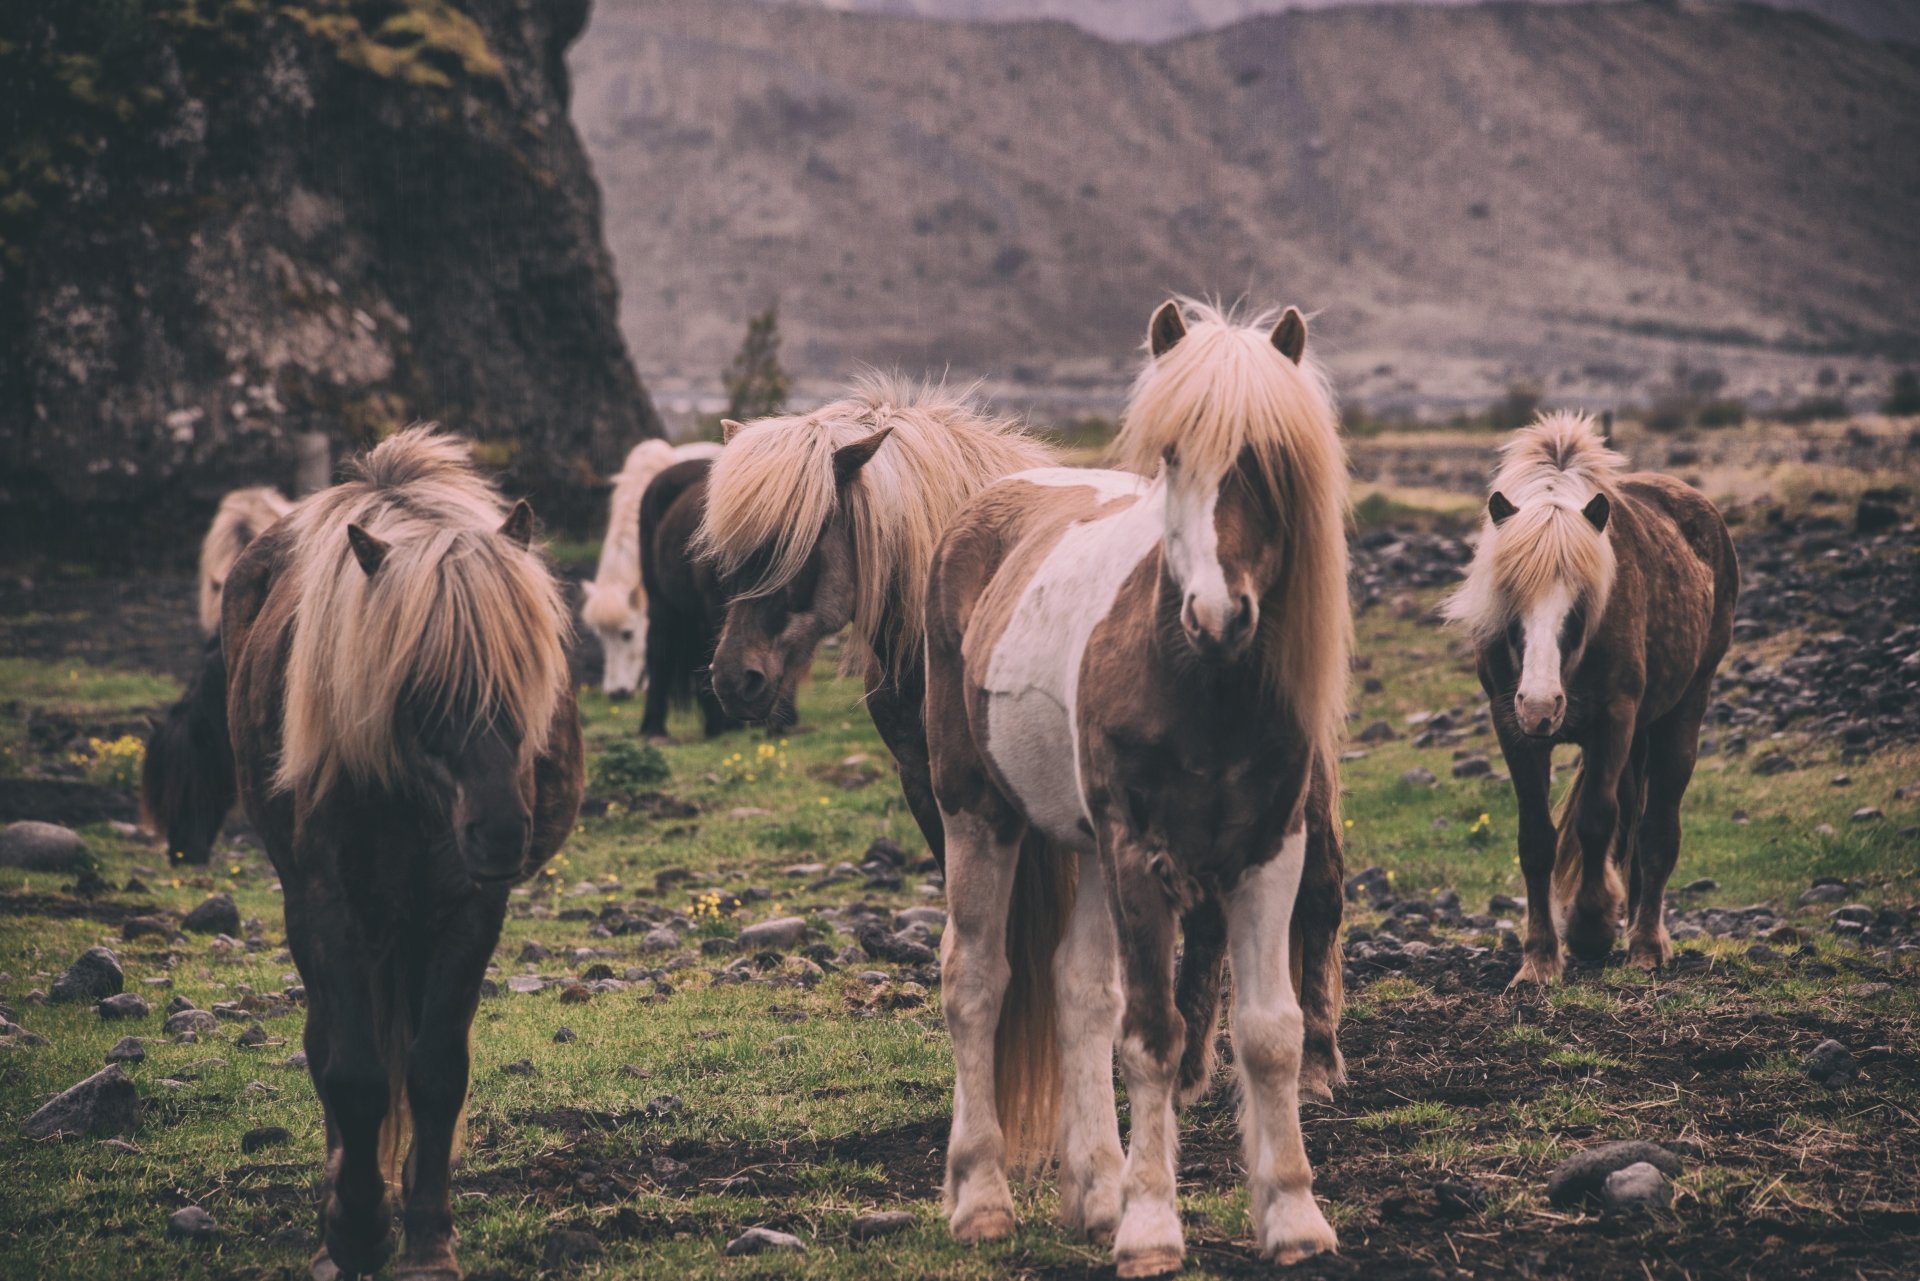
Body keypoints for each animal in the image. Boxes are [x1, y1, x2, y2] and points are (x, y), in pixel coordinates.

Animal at [921, 300, 1351, 1275]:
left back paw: (1095, 1193)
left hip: (1082, 843)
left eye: (1270, 458)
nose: (1217, 616)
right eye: (1172, 455)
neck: (1198, 682)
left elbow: (1270, 1033)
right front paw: (1153, 1227)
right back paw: (981, 1198)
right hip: (982, 814)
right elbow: (1154, 1036)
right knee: (977, 980)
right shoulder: (1140, 854)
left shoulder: (1271, 850)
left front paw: (1293, 1214)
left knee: (1079, 990)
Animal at [1442, 412, 1737, 984]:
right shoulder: (1510, 725)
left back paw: (1646, 943)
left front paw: (1590, 928)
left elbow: (1597, 821)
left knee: (1657, 830)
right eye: (1508, 598)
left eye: (1581, 601)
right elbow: (1536, 839)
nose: (1541, 706)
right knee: (1635, 827)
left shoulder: (1613, 719)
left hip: (1683, 711)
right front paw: (1539, 958)